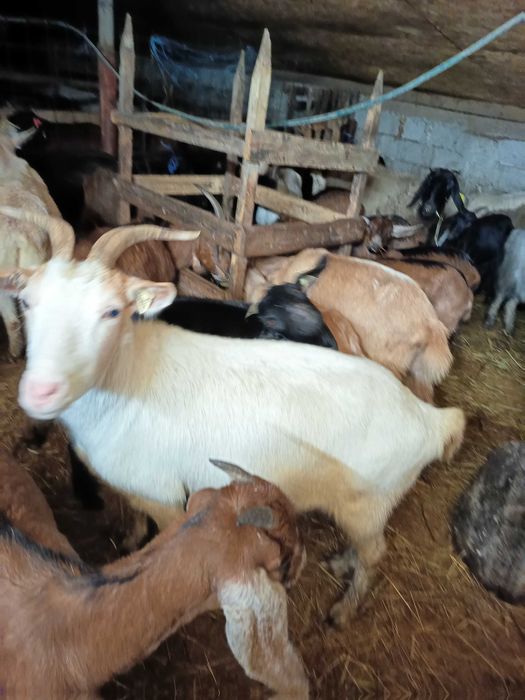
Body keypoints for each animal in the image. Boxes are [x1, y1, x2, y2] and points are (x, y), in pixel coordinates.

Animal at [0, 208, 465, 625]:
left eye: (112, 311)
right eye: (27, 302)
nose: (41, 392)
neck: (131, 376)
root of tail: (432, 420)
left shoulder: (166, 495)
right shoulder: (136, 485)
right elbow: (133, 518)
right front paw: (126, 540)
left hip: (368, 504)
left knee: (375, 553)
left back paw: (343, 610)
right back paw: (339, 564)